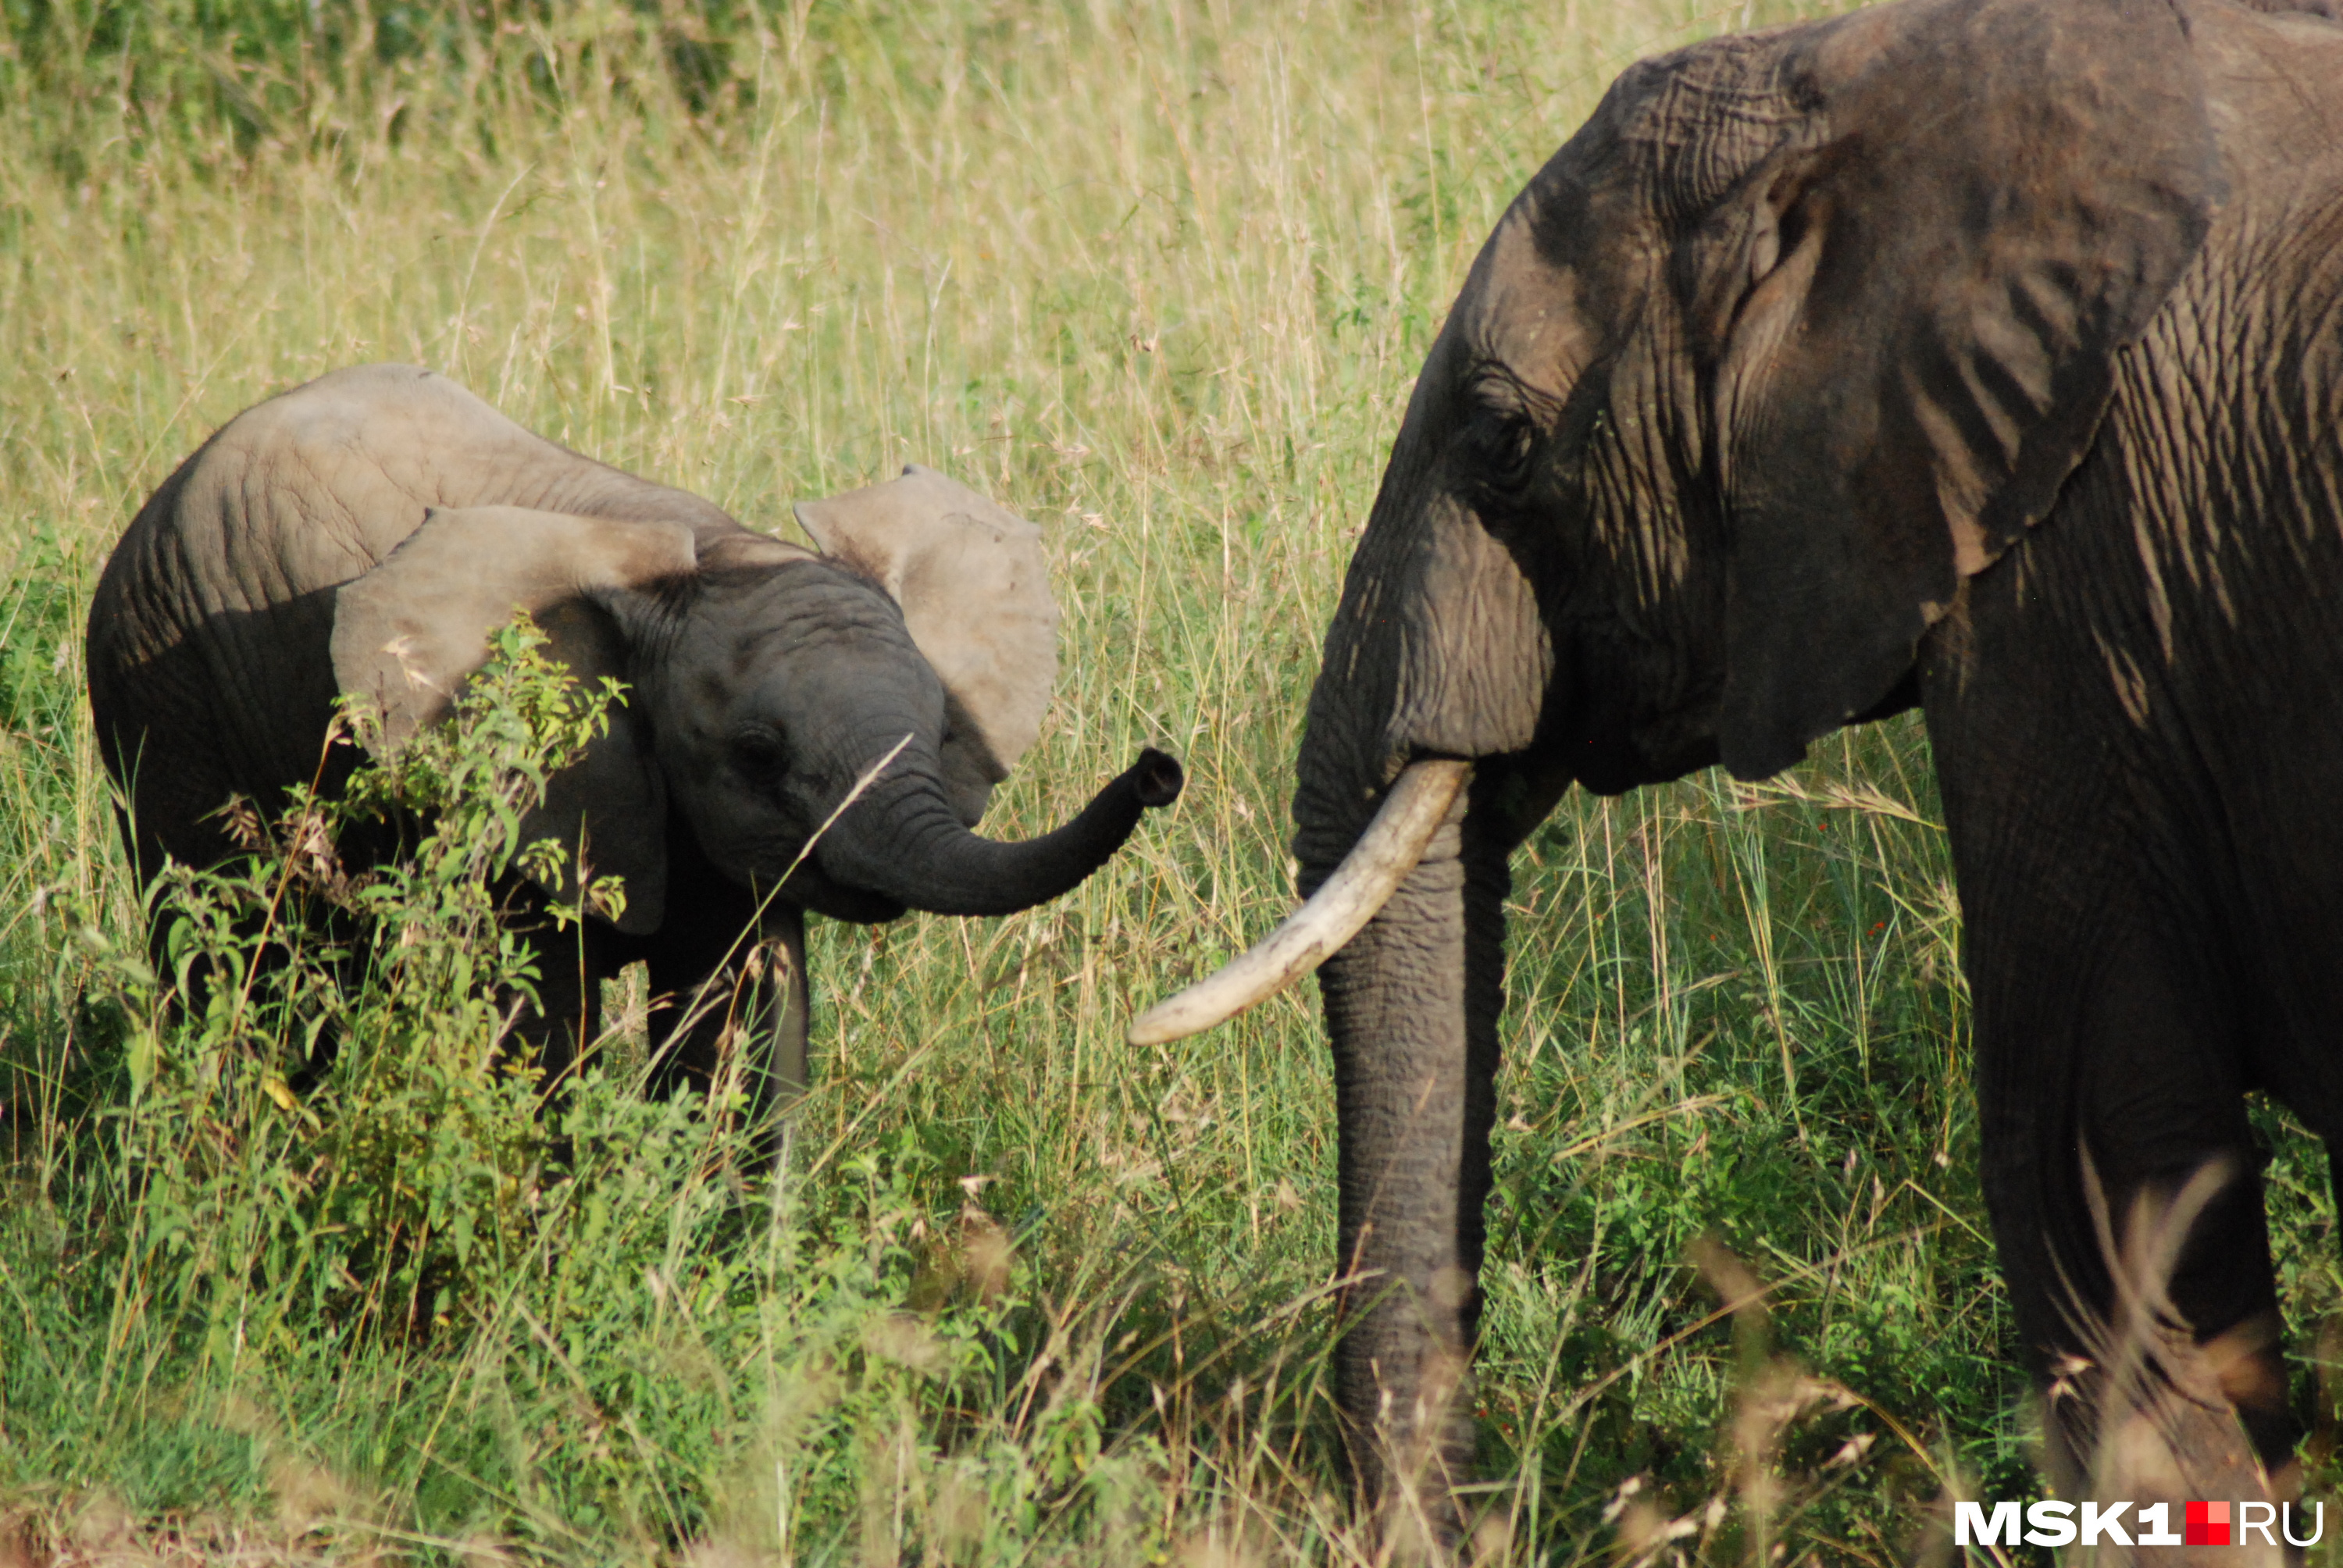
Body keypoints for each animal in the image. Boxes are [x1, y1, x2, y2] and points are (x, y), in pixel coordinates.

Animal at [91, 363, 1190, 1106]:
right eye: (757, 755)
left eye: (938, 727)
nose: (1158, 767)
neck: (709, 557)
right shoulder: (532, 793)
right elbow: (537, 1021)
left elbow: (740, 1019)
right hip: (160, 696)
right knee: (241, 951)